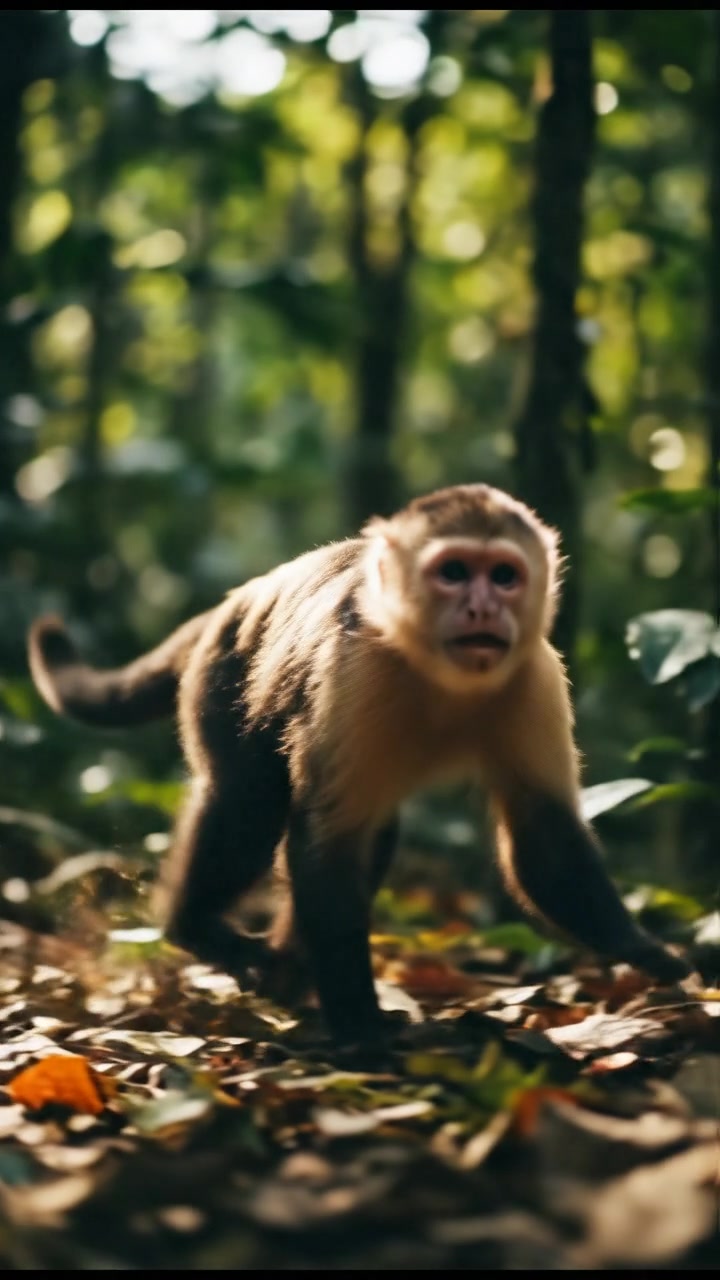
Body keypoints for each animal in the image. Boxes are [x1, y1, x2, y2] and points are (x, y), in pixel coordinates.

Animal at [27, 483, 690, 1045]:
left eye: (504, 577)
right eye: (454, 573)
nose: (481, 609)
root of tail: (239, 597)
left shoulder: (534, 676)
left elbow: (542, 836)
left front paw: (644, 951)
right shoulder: (358, 668)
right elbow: (327, 837)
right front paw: (359, 1025)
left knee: (373, 829)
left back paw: (289, 971)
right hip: (222, 674)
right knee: (247, 801)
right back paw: (194, 927)